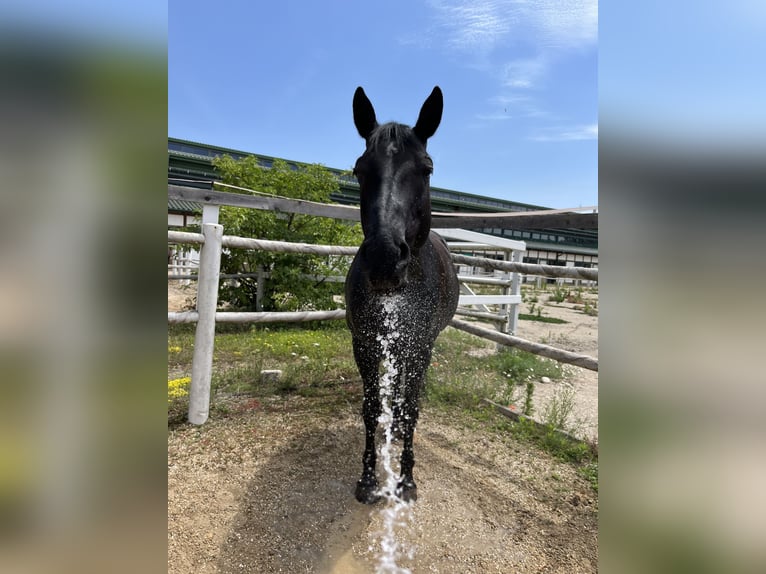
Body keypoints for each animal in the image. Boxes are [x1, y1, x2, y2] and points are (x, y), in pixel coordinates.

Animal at [345, 86, 460, 504]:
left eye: (427, 169)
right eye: (360, 169)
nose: (384, 258)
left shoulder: (421, 345)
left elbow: (410, 407)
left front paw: (405, 481)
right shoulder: (364, 342)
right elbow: (369, 406)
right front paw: (367, 479)